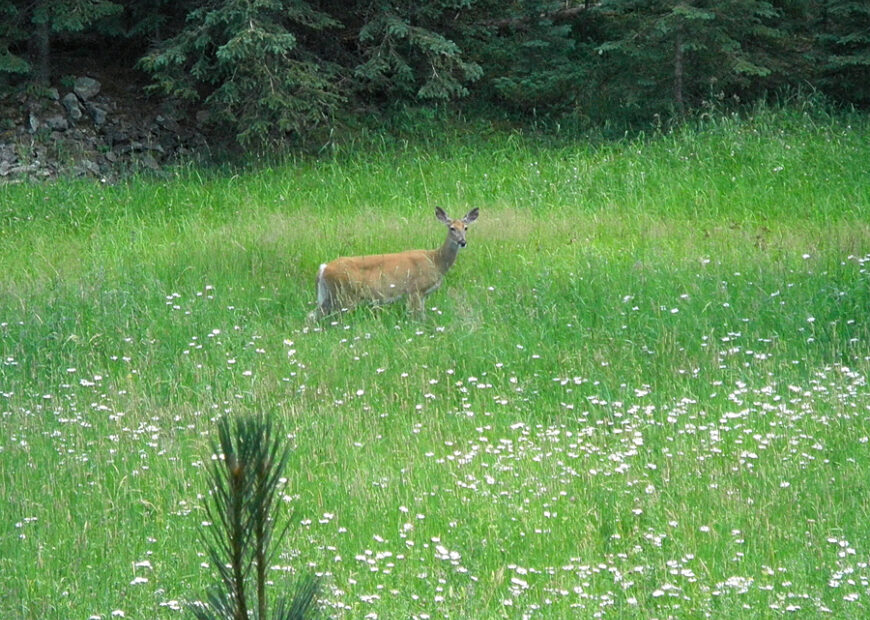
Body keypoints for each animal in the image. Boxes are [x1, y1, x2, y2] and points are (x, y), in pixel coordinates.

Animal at [310, 207, 480, 322]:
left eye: (466, 228)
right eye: (452, 228)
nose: (462, 242)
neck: (435, 261)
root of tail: (323, 268)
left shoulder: (422, 294)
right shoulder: (415, 289)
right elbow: (418, 316)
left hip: (327, 296)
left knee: (312, 316)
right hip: (345, 295)